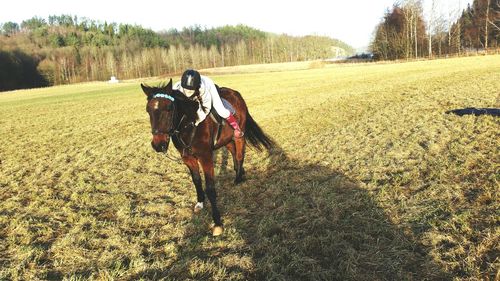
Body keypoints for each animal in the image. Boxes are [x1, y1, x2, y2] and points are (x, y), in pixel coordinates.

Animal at [140, 78, 274, 234]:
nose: (158, 144)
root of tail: (236, 94)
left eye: (169, 108)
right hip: (226, 140)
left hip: (239, 135)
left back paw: (238, 178)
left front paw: (217, 222)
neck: (189, 124)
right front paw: (200, 203)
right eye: (148, 110)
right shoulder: (188, 158)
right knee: (233, 152)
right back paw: (239, 172)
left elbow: (210, 188)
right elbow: (196, 180)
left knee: (240, 155)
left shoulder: (205, 157)